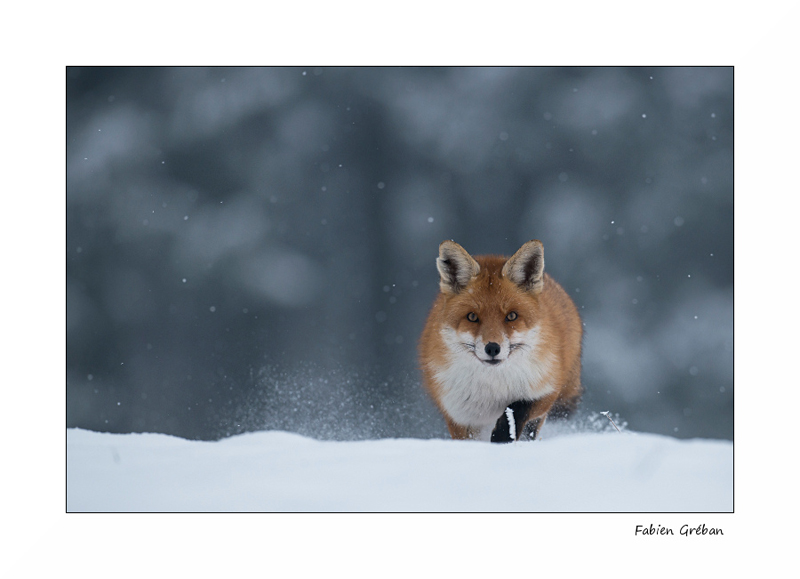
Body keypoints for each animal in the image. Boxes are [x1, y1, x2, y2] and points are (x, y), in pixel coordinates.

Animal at [418, 239, 583, 443]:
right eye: (472, 317)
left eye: (511, 316)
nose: (492, 348)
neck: (492, 390)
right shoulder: (458, 416)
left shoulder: (547, 389)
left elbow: (517, 408)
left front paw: (502, 437)